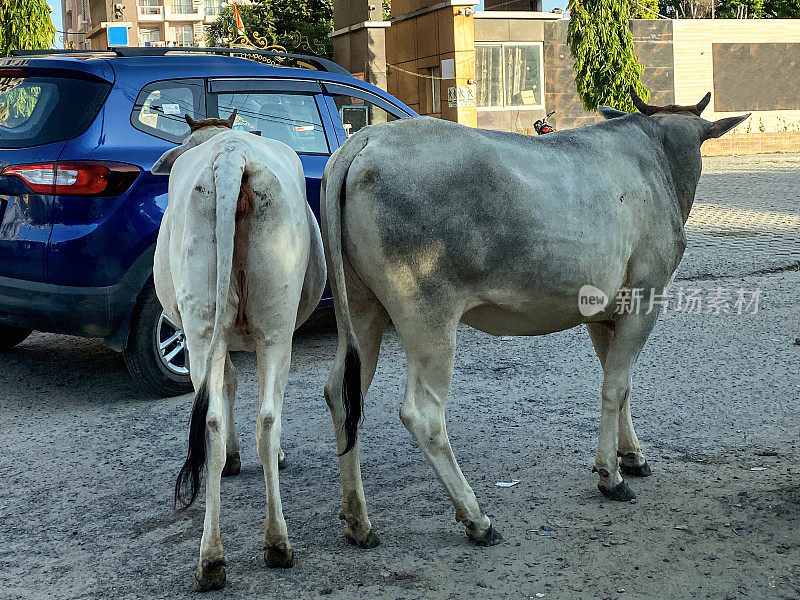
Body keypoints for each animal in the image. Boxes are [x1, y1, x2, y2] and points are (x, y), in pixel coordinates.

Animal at [150, 112, 324, 592]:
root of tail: (231, 156)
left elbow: (228, 384)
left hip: (207, 324)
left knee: (221, 418)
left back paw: (221, 555)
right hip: (272, 325)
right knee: (262, 418)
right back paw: (263, 544)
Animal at [320, 89, 752, 548]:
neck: (660, 156)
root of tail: (364, 141)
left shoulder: (603, 312)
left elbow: (621, 383)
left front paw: (632, 456)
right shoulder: (645, 297)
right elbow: (615, 386)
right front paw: (611, 475)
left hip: (364, 310)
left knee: (341, 394)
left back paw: (358, 521)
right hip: (427, 314)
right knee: (422, 413)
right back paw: (477, 519)